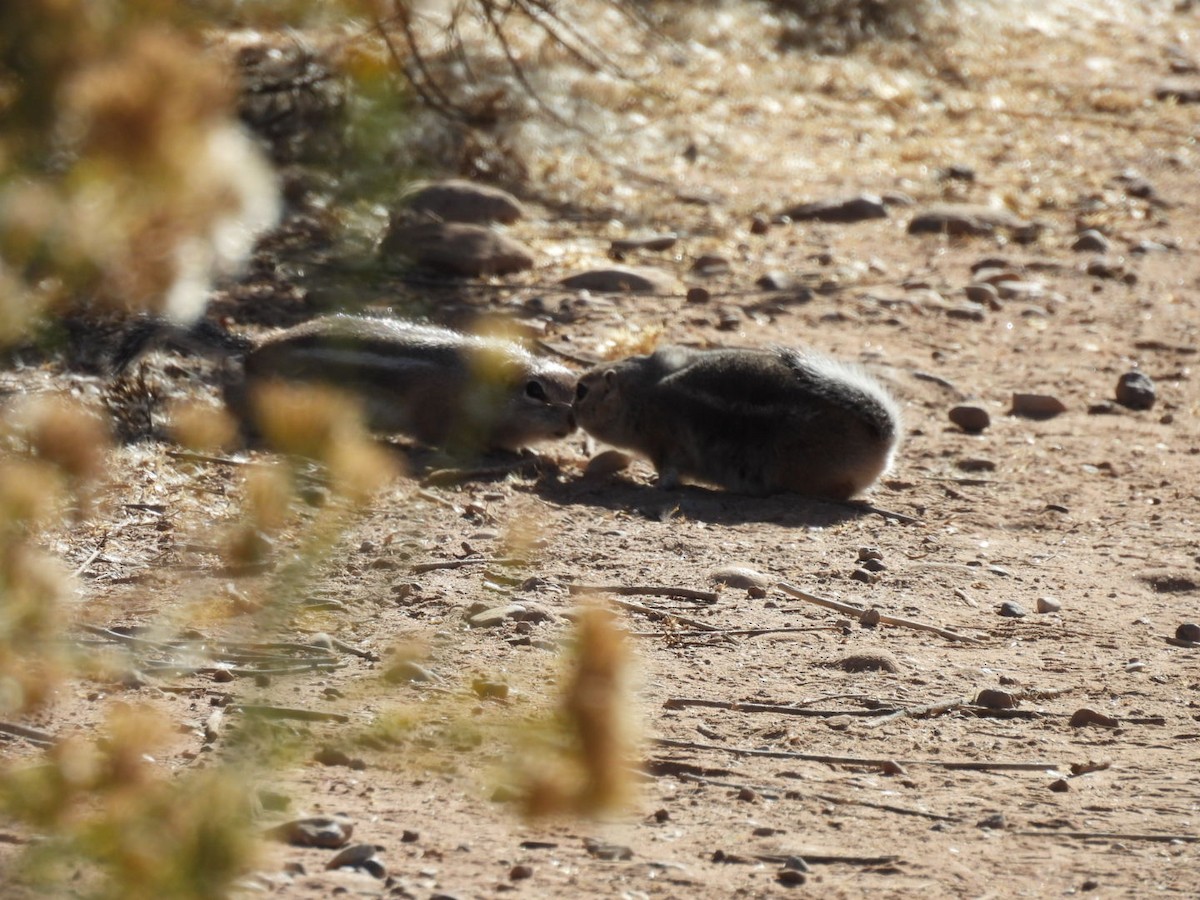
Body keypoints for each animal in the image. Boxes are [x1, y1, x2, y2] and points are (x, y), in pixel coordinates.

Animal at [116, 314, 577, 452]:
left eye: (576, 390)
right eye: (535, 391)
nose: (572, 424)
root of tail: (259, 346)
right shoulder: (435, 407)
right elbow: (438, 435)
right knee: (236, 395)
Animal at [572, 344, 901, 499]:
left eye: (581, 390)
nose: (571, 412)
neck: (643, 393)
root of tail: (885, 440)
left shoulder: (666, 446)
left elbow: (668, 476)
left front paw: (650, 487)